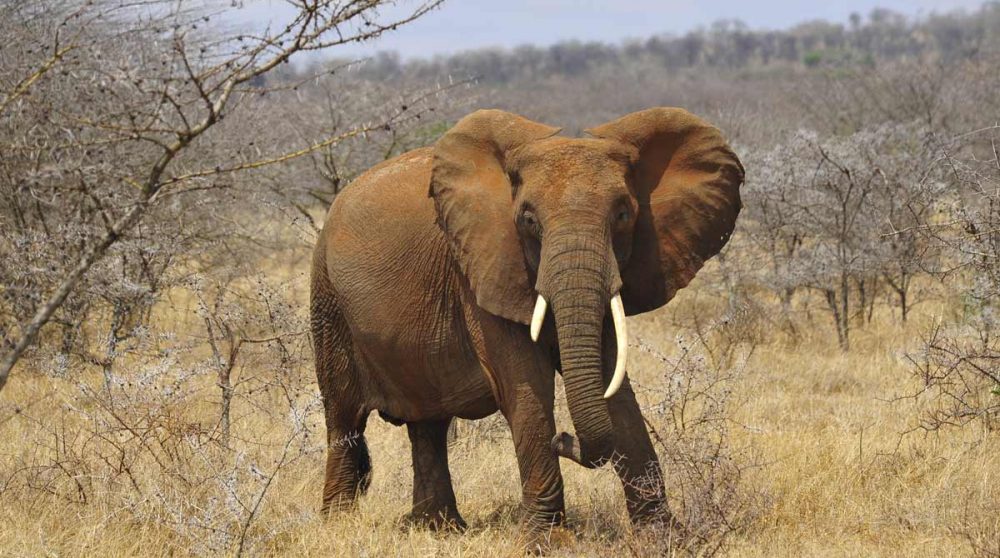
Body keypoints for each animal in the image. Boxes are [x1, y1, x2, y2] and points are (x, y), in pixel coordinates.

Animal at [310, 107, 744, 536]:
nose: (564, 438)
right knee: (345, 416)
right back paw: (338, 525)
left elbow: (612, 382)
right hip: (327, 297)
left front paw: (663, 537)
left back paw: (439, 528)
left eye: (623, 215)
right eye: (528, 220)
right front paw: (545, 540)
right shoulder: (481, 267)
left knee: (428, 424)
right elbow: (526, 382)